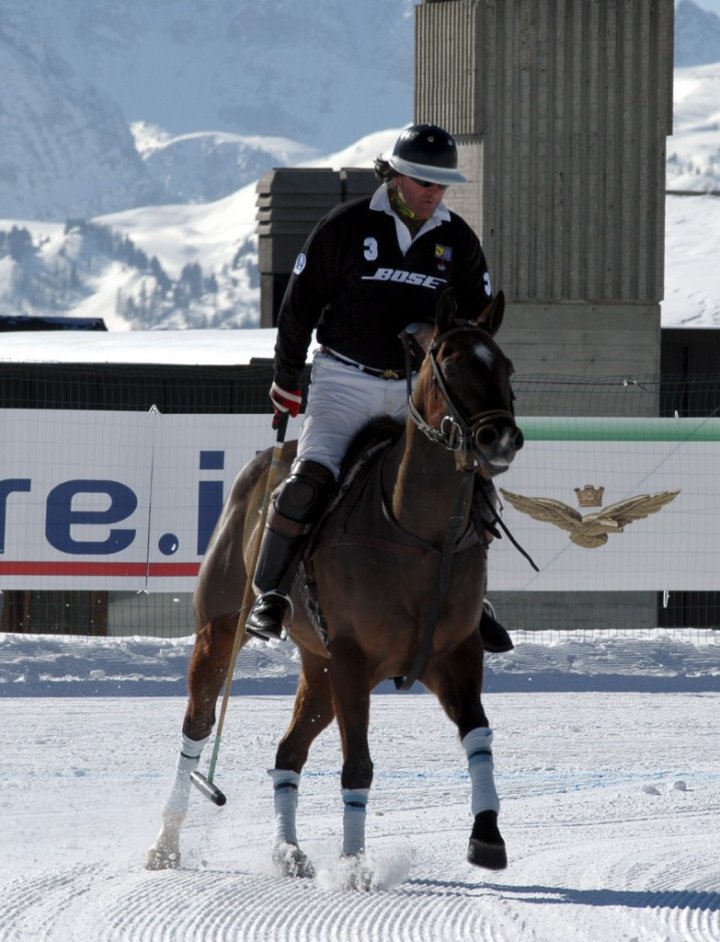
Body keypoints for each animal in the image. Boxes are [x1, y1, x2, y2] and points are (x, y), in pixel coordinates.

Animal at [146, 290, 524, 884]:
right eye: (449, 365)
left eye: (505, 366)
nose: (500, 438)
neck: (419, 532)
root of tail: (266, 460)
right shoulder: (352, 658)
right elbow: (358, 765)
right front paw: (353, 866)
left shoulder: (456, 655)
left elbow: (478, 735)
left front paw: (486, 837)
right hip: (223, 632)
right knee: (198, 727)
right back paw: (166, 843)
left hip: (318, 668)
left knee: (286, 753)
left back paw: (288, 851)